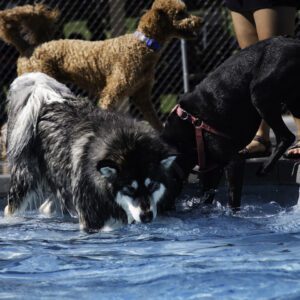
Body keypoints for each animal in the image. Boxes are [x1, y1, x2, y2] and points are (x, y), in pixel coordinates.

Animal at [4, 72, 177, 232]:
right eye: (129, 189)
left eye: (152, 185)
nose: (147, 216)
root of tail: (48, 100)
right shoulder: (91, 219)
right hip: (25, 180)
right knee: (9, 208)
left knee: (46, 207)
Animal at [162, 35, 300, 209]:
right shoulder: (211, 169)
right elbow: (206, 197)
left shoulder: (234, 162)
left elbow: (233, 200)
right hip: (293, 101)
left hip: (261, 94)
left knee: (286, 136)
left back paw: (265, 168)